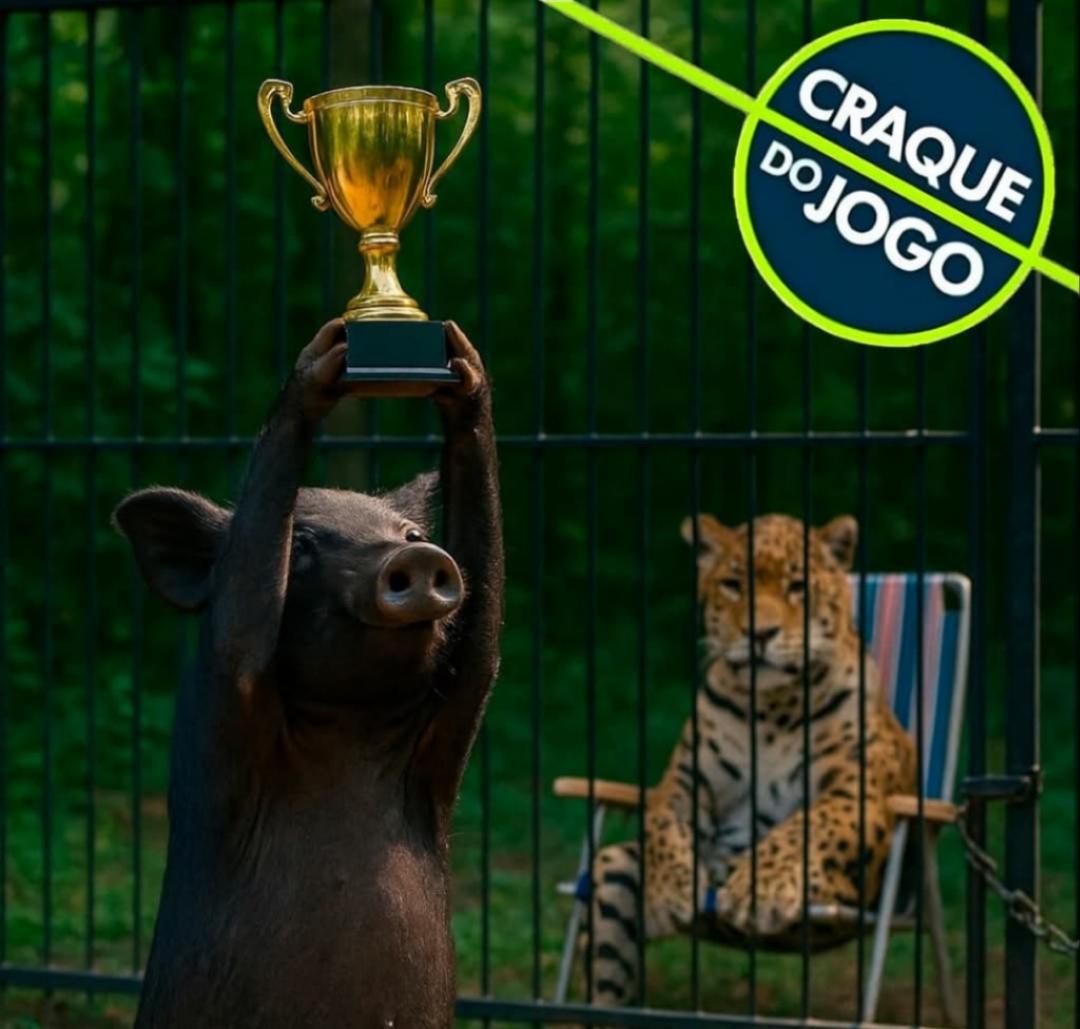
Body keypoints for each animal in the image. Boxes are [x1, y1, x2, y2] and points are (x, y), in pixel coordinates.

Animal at [113, 320, 503, 1029]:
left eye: (410, 531)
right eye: (303, 544)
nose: (414, 554)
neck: (348, 728)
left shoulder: (457, 712)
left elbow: (484, 635)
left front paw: (461, 367)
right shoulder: (225, 700)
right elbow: (241, 622)